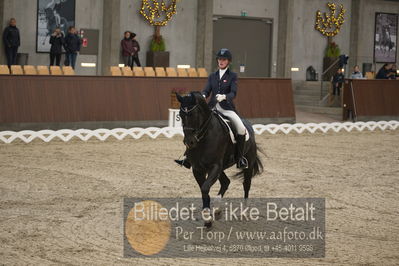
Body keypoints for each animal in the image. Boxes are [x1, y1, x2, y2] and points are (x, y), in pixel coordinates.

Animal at [177, 91, 264, 224]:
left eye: (194, 114)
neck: (204, 137)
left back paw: (244, 212)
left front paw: (207, 217)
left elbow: (205, 188)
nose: (189, 142)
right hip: (221, 168)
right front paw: (207, 215)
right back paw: (217, 208)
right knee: (226, 182)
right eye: (180, 115)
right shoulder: (198, 169)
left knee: (246, 185)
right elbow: (204, 189)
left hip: (246, 165)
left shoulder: (215, 166)